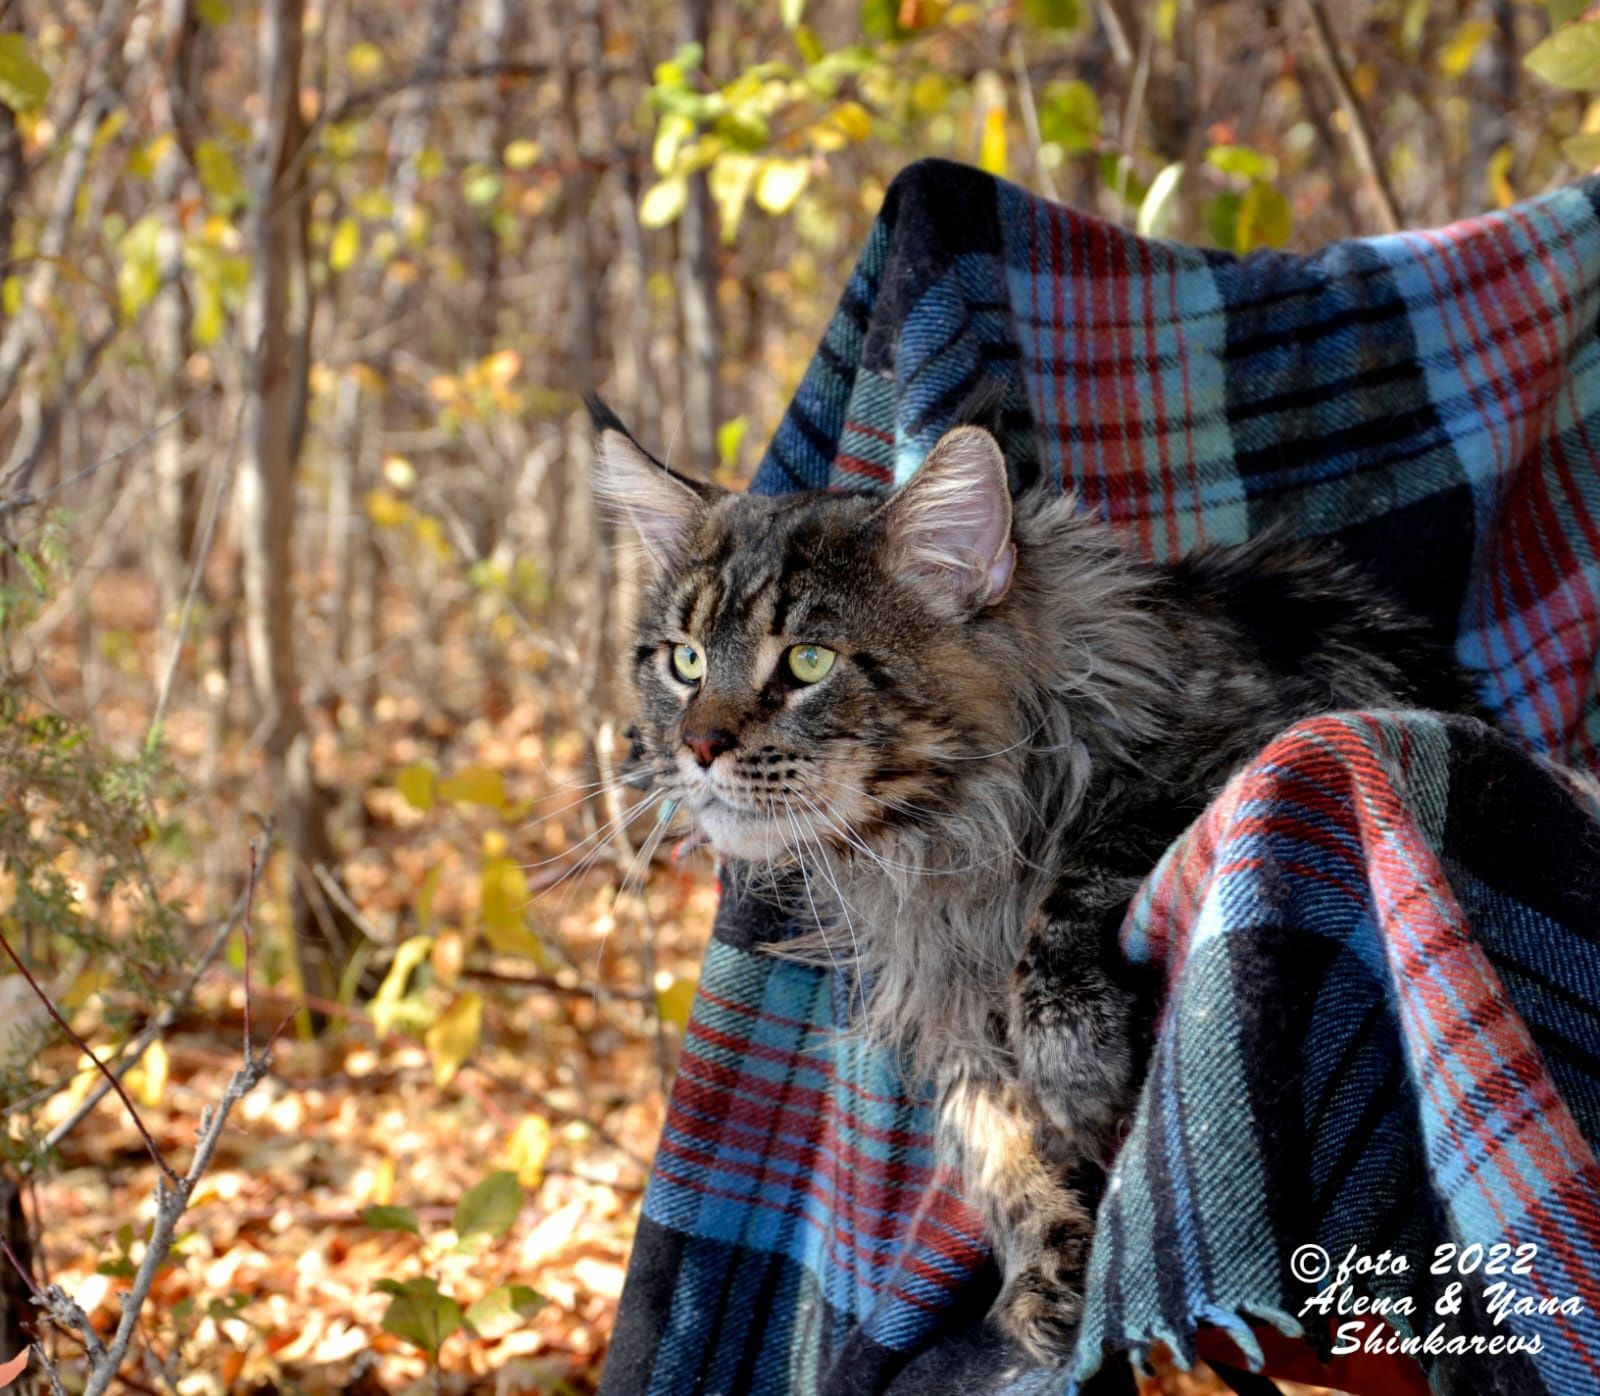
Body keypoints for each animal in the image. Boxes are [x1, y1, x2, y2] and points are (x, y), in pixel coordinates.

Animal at [592, 398, 1484, 1370]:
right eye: (682, 661)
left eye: (808, 664)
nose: (696, 747)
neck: (943, 838)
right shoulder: (941, 995)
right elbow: (992, 1137)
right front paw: (1049, 1270)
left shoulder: (1249, 745)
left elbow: (1074, 885)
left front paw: (1073, 1066)